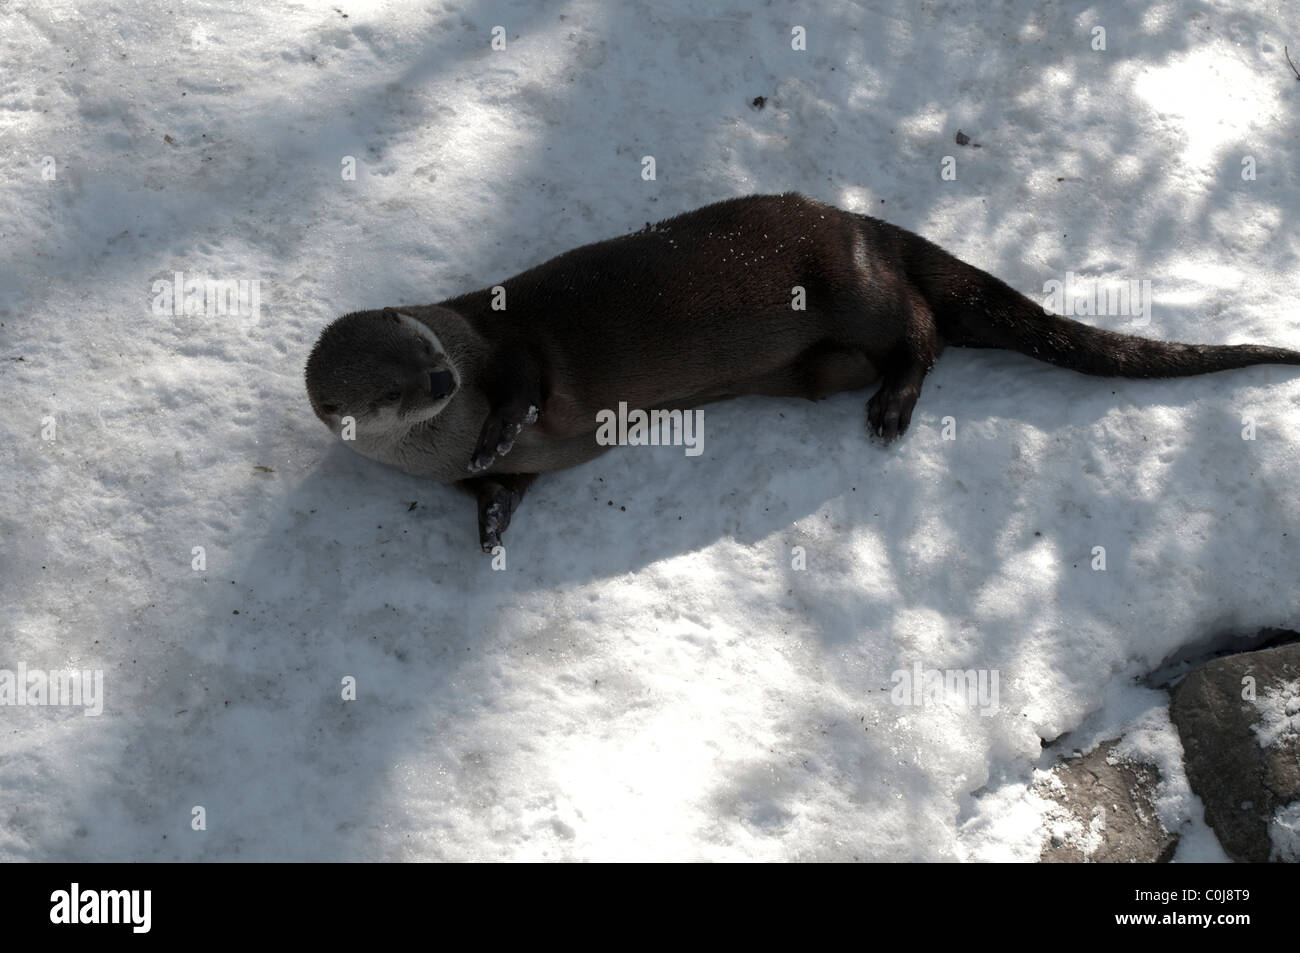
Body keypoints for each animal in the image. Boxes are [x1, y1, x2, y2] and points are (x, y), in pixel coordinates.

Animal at [306, 191, 1300, 551]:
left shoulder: (500, 340)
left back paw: (894, 410)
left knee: (925, 330)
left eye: (428, 354)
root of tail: (865, 222)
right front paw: (491, 527)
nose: (443, 389)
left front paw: (498, 428)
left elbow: (522, 386)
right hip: (826, 349)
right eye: (388, 391)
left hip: (850, 282)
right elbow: (499, 492)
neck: (434, 449)